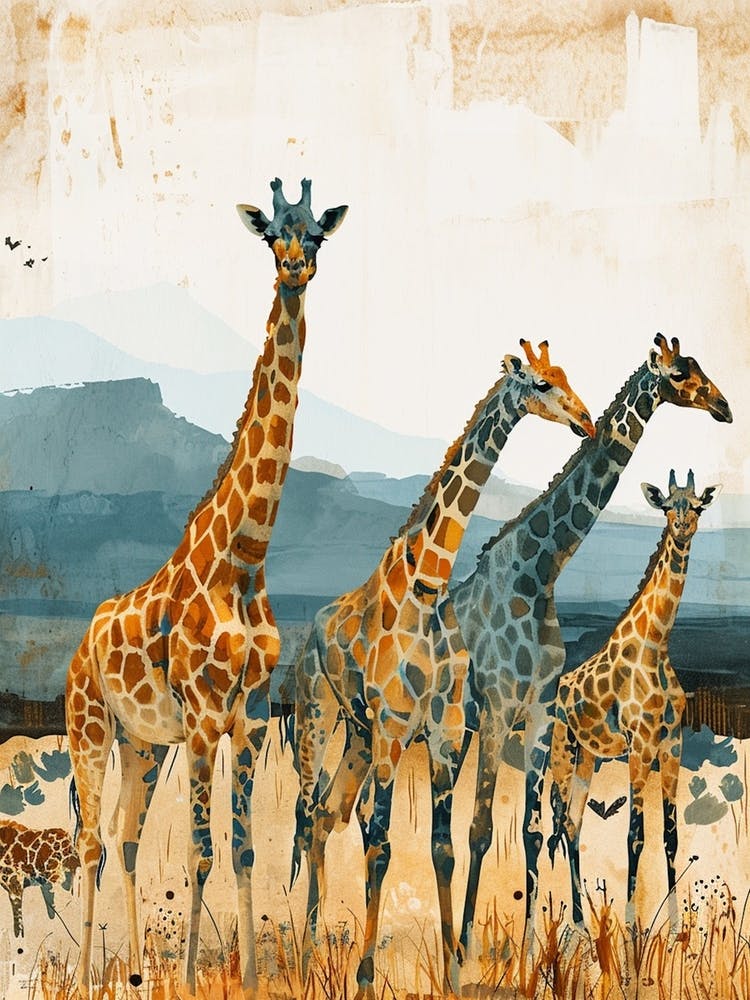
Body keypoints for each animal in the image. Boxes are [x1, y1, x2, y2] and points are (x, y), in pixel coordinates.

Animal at [65, 178, 347, 994]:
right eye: (272, 236)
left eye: (317, 234)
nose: (294, 269)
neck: (244, 556)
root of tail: (78, 650)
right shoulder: (199, 718)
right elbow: (200, 851)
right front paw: (194, 976)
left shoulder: (245, 718)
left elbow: (244, 848)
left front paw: (246, 975)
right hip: (88, 728)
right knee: (89, 841)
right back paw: (94, 972)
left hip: (139, 743)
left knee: (124, 837)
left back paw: (132, 968)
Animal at [292, 340, 596, 999]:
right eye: (540, 383)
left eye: (565, 374)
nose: (585, 421)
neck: (424, 586)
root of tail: (311, 634)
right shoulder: (397, 725)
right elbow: (384, 845)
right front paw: (367, 975)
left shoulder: (443, 729)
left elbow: (443, 846)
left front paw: (455, 963)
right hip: (318, 716)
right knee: (307, 815)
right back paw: (304, 950)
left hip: (359, 735)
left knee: (327, 814)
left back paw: (315, 942)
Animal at [547, 469, 718, 932]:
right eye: (667, 506)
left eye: (698, 506)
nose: (682, 528)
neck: (656, 644)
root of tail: (559, 689)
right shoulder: (640, 745)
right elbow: (635, 834)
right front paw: (630, 926)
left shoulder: (671, 742)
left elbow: (670, 835)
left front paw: (676, 927)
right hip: (562, 746)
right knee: (555, 824)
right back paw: (571, 920)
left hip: (589, 755)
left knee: (573, 822)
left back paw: (581, 919)